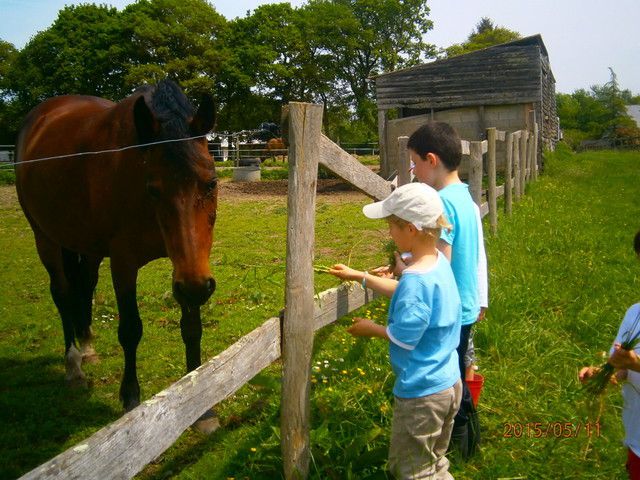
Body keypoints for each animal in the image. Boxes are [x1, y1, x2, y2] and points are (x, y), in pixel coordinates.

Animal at [15, 80, 219, 414]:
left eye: (211, 183)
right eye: (153, 189)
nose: (198, 288)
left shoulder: (187, 266)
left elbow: (191, 326)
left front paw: (201, 402)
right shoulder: (124, 263)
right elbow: (130, 330)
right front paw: (131, 397)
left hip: (88, 247)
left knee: (85, 285)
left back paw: (87, 348)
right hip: (45, 238)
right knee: (62, 294)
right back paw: (74, 366)